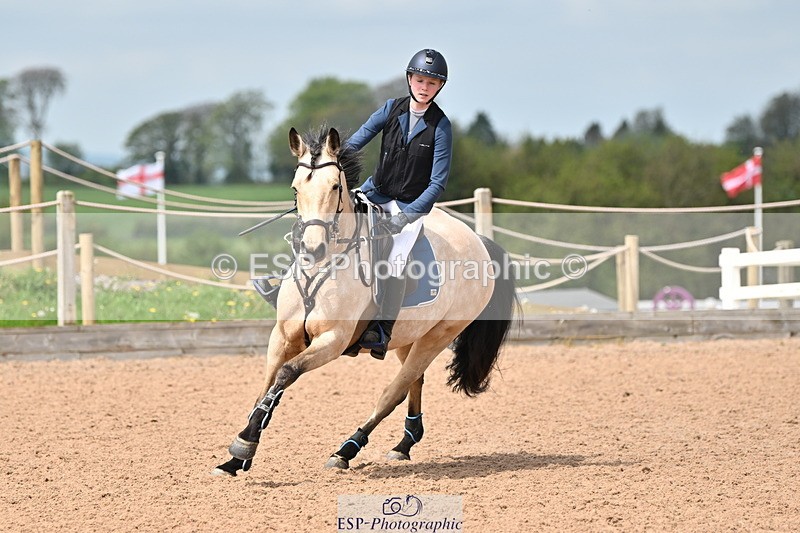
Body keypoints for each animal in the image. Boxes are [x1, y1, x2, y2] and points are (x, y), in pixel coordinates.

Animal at [214, 126, 517, 476]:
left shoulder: (333, 340)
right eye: (295, 188)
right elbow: (266, 385)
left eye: (334, 186)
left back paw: (346, 450)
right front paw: (236, 458)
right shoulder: (283, 335)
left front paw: (244, 443)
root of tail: (478, 241)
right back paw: (404, 444)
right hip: (407, 336)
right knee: (413, 380)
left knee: (395, 390)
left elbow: (286, 374)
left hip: (439, 335)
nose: (312, 249)